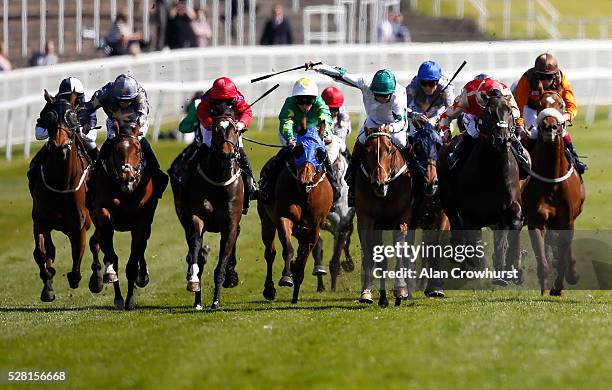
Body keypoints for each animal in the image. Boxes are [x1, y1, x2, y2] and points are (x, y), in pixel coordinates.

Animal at [29, 90, 92, 302]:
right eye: (49, 116)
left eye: (72, 117)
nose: (60, 146)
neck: (61, 182)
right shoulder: (40, 220)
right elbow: (42, 253)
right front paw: (48, 283)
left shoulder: (79, 225)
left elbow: (78, 256)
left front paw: (75, 278)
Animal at [258, 128, 334, 304]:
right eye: (298, 150)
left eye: (319, 153)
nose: (305, 178)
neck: (304, 192)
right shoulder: (283, 218)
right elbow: (288, 248)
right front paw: (286, 277)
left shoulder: (313, 229)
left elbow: (303, 258)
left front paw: (296, 288)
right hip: (266, 221)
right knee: (270, 253)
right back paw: (269, 289)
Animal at [354, 125, 412, 308]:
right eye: (367, 150)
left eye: (391, 149)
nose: (379, 183)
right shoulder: (366, 218)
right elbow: (371, 255)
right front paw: (366, 293)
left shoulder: (403, 216)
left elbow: (400, 250)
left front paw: (400, 289)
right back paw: (382, 298)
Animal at [438, 95, 524, 282]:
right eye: (489, 112)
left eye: (509, 110)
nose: (502, 140)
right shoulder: (471, 215)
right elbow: (474, 243)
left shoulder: (510, 207)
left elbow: (509, 232)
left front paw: (509, 268)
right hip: (448, 200)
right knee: (456, 223)